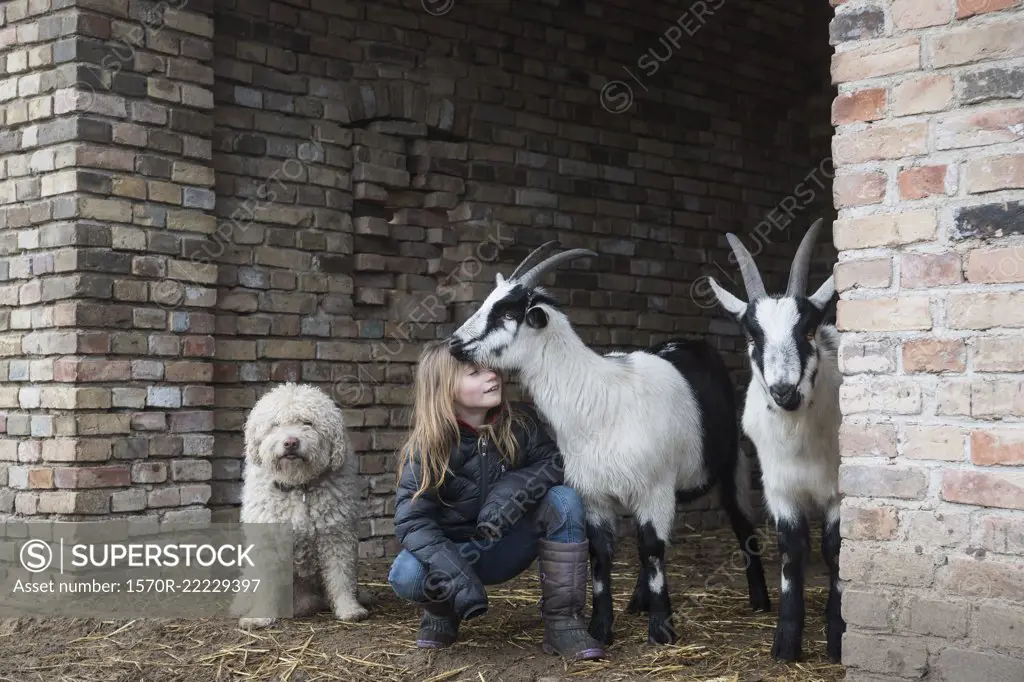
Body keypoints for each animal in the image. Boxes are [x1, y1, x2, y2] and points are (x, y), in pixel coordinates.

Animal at [236, 382, 372, 626]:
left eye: (308, 423)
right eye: (275, 424)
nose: (291, 442)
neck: (297, 486)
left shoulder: (337, 538)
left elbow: (340, 577)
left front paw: (349, 609)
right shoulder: (267, 544)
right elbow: (266, 585)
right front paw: (260, 617)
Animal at [448, 241, 770, 647]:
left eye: (507, 311)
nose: (454, 343)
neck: (599, 399)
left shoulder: (655, 488)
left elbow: (652, 550)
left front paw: (661, 630)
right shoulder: (595, 494)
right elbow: (601, 556)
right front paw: (600, 628)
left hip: (729, 463)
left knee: (740, 524)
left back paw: (760, 601)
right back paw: (638, 602)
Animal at [708, 219, 843, 663]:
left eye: (808, 330)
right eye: (753, 337)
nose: (784, 391)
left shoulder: (840, 490)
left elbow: (835, 550)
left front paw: (837, 637)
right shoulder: (780, 488)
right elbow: (791, 550)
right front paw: (785, 644)